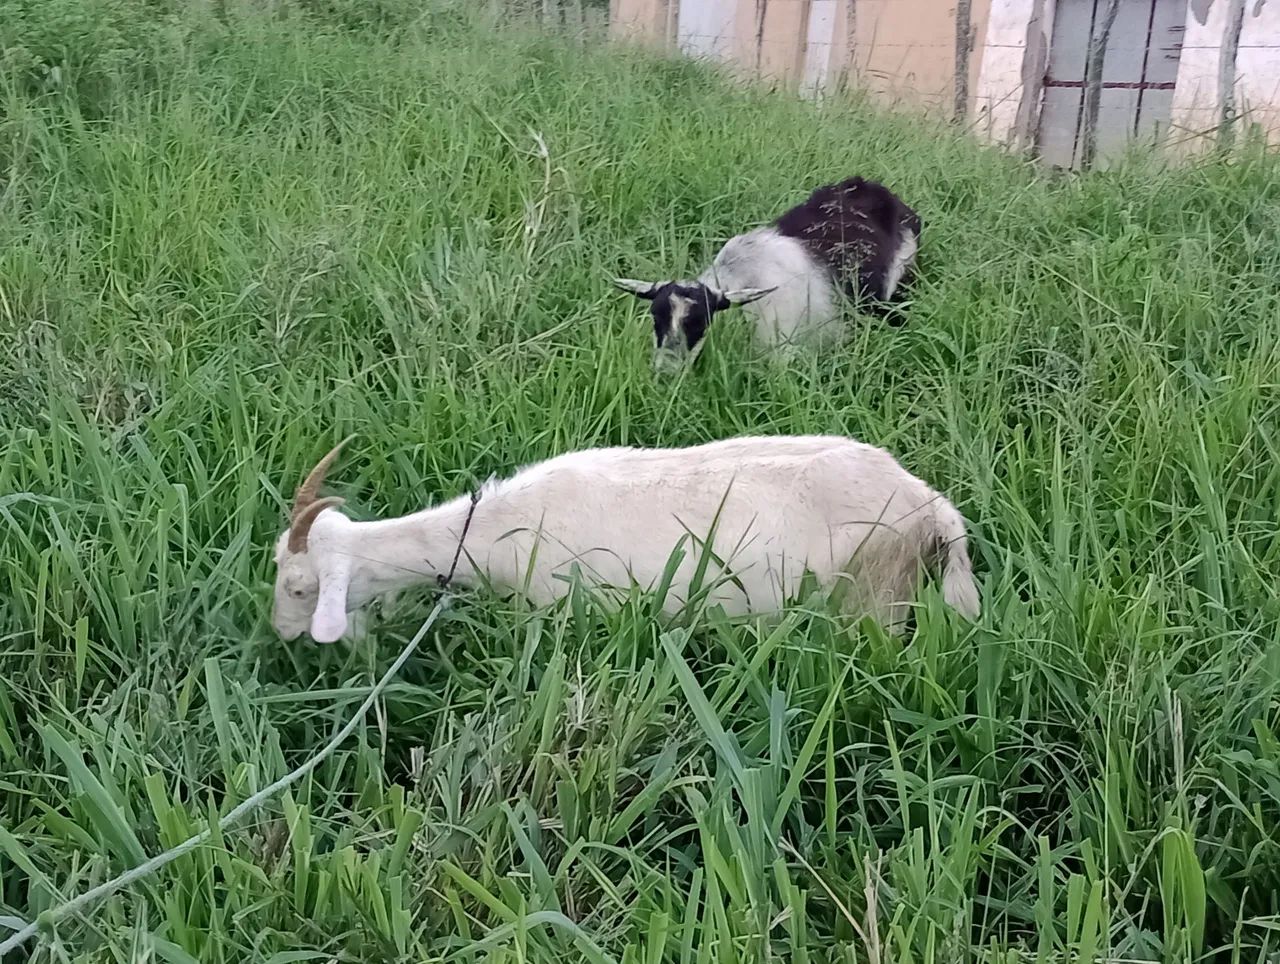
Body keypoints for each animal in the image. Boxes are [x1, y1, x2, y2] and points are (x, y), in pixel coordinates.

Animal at [271, 433, 978, 644]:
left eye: (300, 588)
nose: (279, 634)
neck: (489, 531)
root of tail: (933, 509)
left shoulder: (561, 605)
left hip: (871, 601)